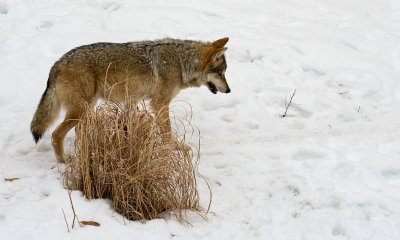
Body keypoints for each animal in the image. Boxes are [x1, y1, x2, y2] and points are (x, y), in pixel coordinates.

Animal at [29, 36, 230, 162]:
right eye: (220, 73)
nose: (228, 90)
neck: (181, 64)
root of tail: (57, 64)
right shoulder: (160, 104)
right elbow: (167, 131)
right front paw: (174, 147)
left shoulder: (131, 102)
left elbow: (127, 127)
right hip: (80, 109)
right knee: (56, 134)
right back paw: (63, 159)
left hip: (87, 107)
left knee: (76, 131)